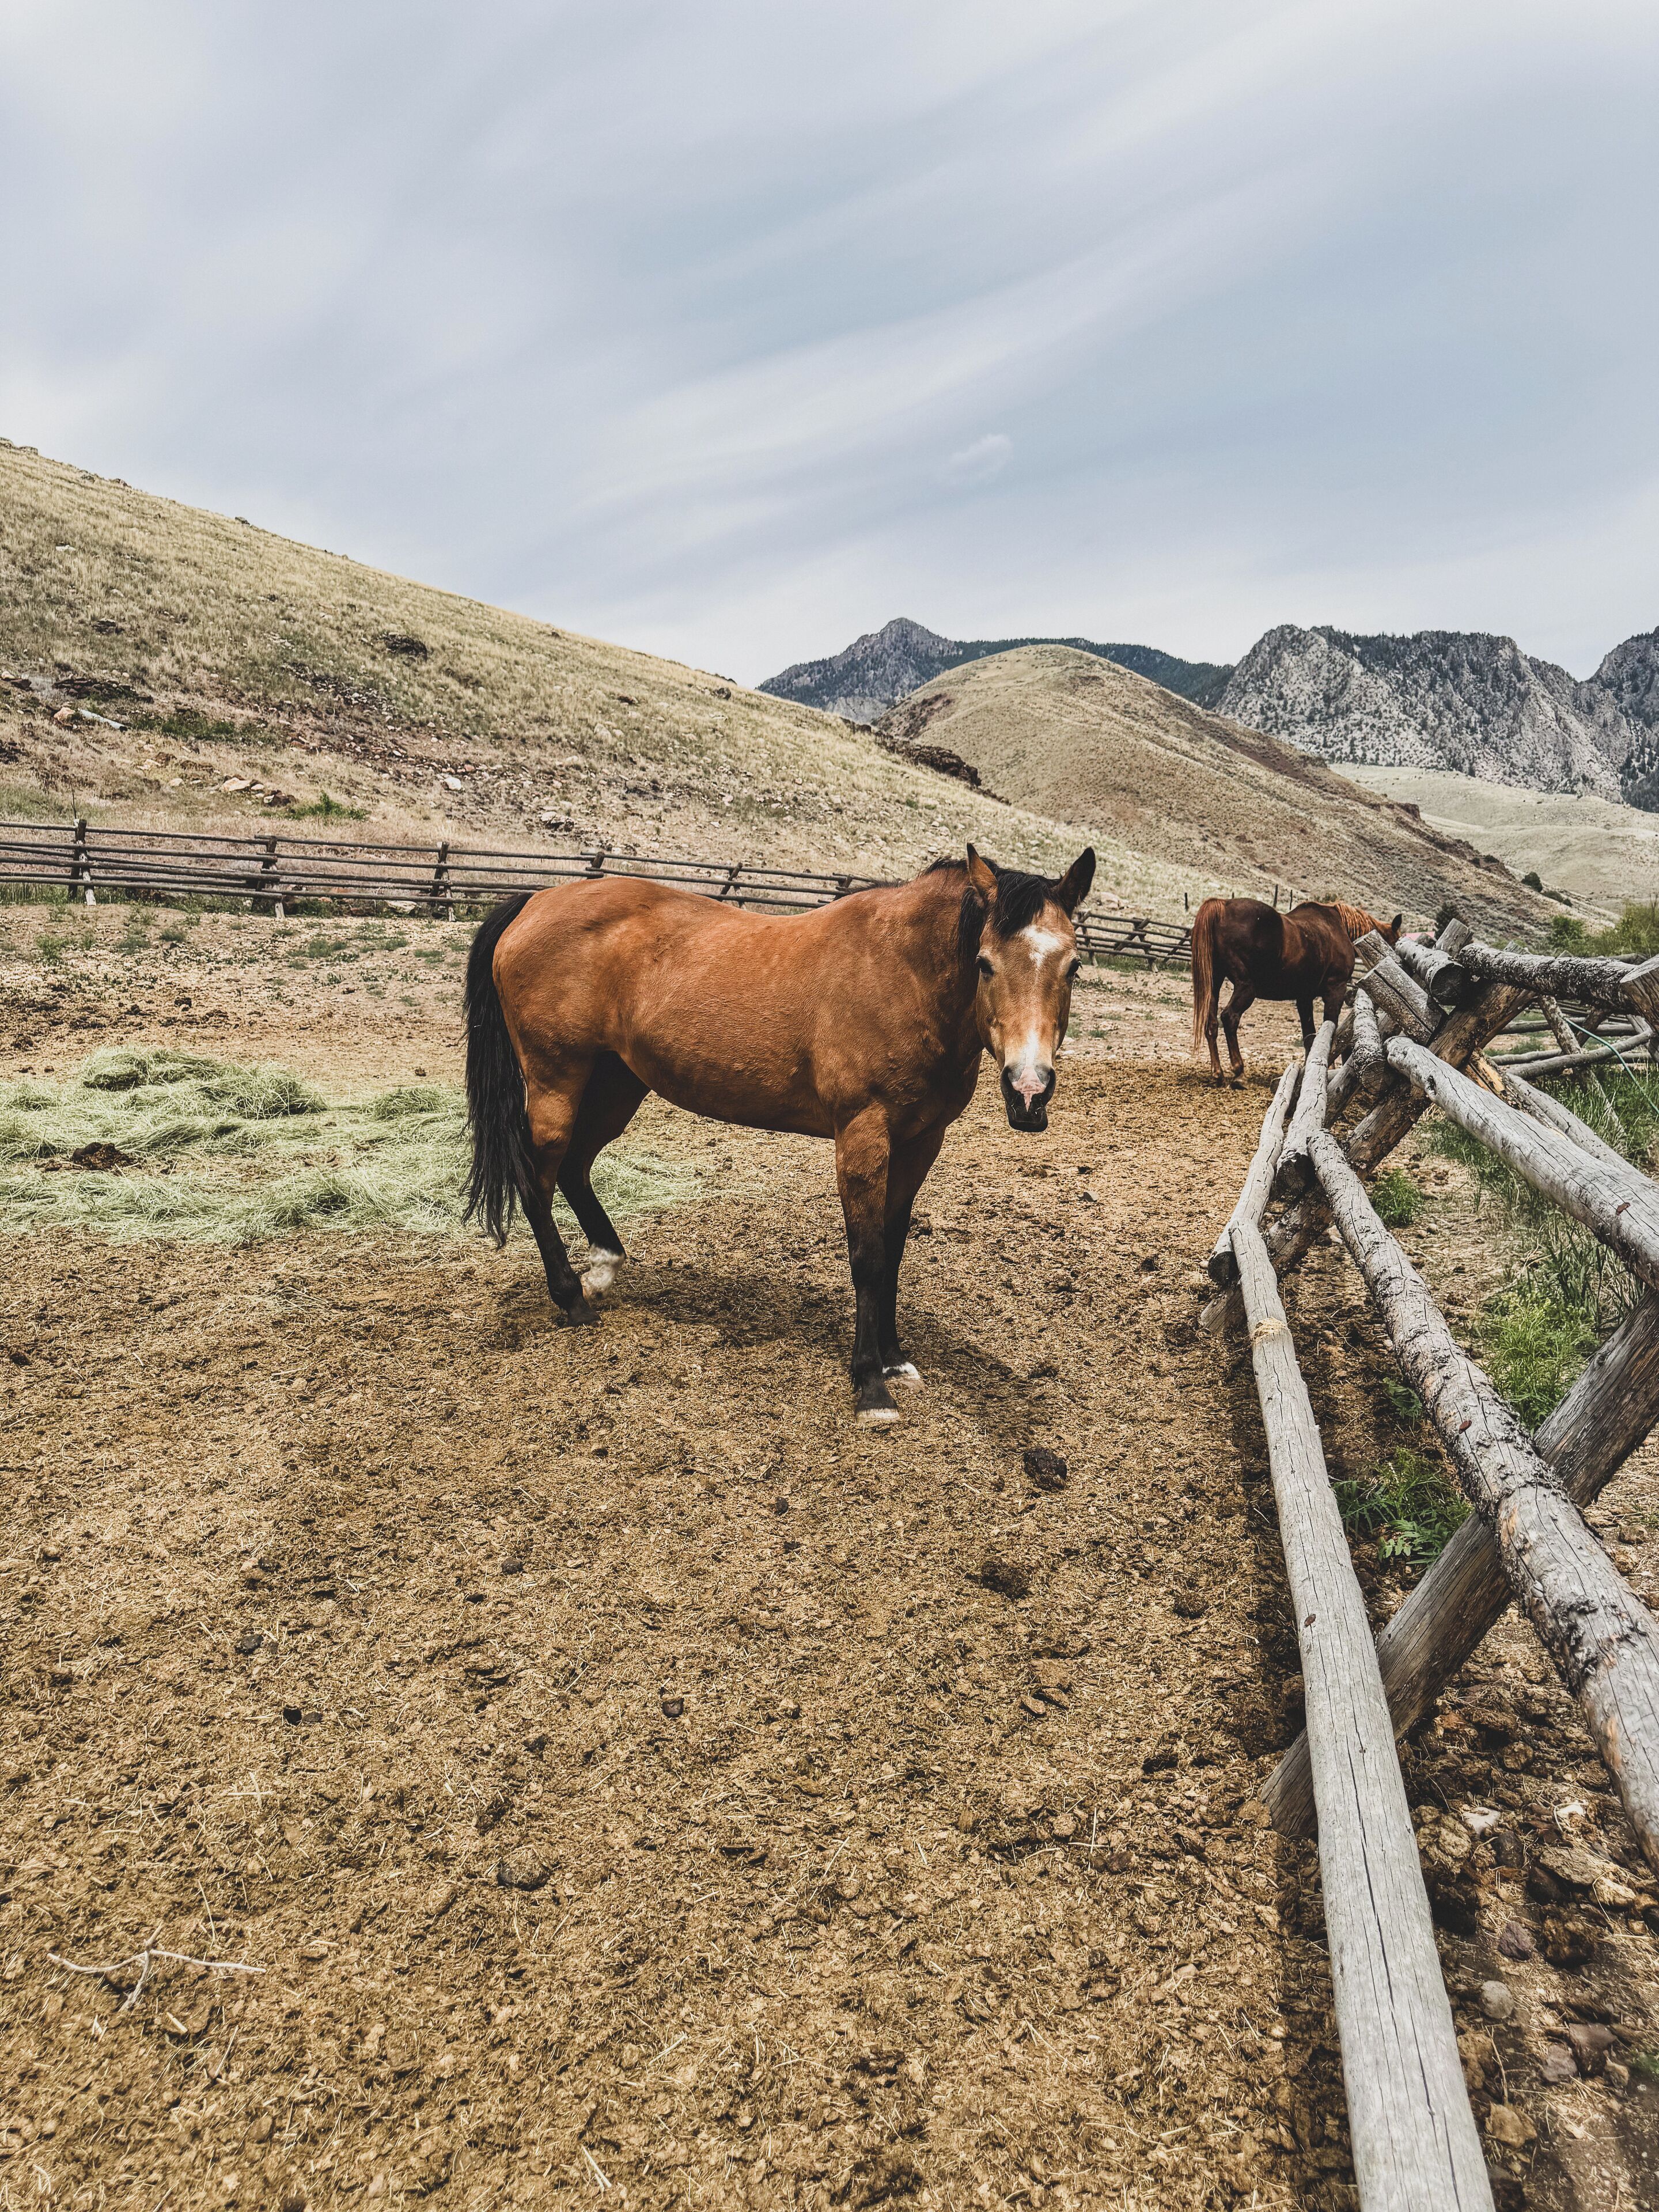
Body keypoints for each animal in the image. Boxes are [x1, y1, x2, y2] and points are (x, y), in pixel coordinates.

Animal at [463, 843, 1096, 1426]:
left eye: (1073, 967)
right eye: (985, 963)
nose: (1029, 1091)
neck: (900, 973)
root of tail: (536, 901)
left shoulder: (921, 1142)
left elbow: (893, 1250)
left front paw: (895, 1359)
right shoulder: (863, 1136)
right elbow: (867, 1257)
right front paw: (871, 1385)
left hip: (616, 1084)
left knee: (574, 1167)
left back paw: (602, 1268)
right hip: (557, 1082)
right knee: (537, 1180)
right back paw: (572, 1298)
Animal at [1190, 896, 1401, 1086]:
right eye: (1395, 943)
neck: (1339, 928)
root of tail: (1222, 906)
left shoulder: (1304, 998)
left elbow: (1310, 1037)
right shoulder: (1335, 991)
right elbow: (1330, 1032)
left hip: (1214, 984)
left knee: (1211, 1024)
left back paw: (1218, 1074)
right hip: (1246, 988)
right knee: (1229, 1018)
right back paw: (1239, 1072)